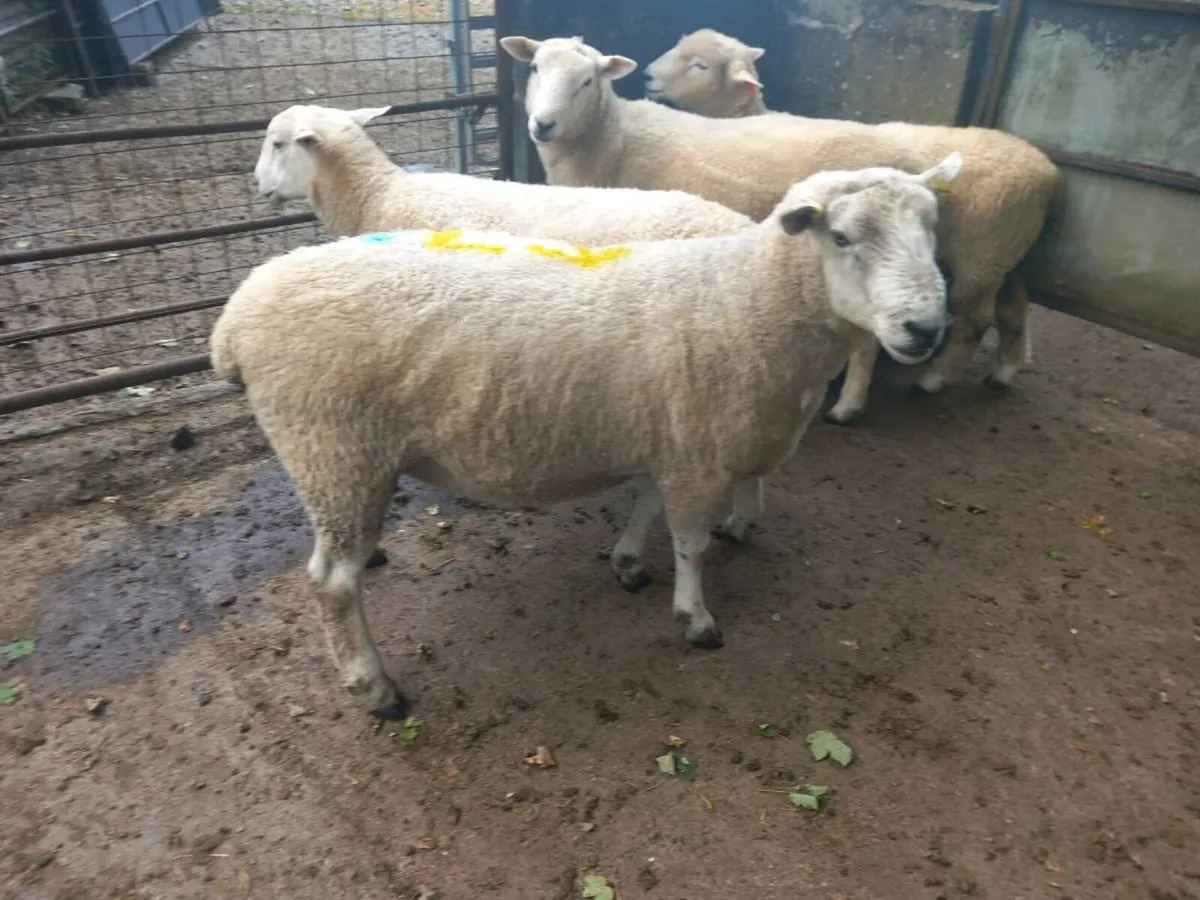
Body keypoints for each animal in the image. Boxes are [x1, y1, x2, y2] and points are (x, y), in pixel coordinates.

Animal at [210, 153, 963, 717]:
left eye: (932, 231)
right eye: (842, 238)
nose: (926, 330)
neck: (746, 299)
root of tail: (234, 317)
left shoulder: (675, 434)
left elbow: (650, 507)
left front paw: (628, 561)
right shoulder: (699, 450)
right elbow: (690, 544)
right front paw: (695, 619)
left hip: (342, 459)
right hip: (331, 446)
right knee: (331, 584)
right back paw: (375, 687)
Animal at [500, 35, 1063, 424]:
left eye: (588, 81)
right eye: (534, 67)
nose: (542, 125)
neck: (613, 138)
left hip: (964, 256)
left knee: (960, 319)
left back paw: (885, 395)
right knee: (1010, 305)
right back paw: (1002, 371)